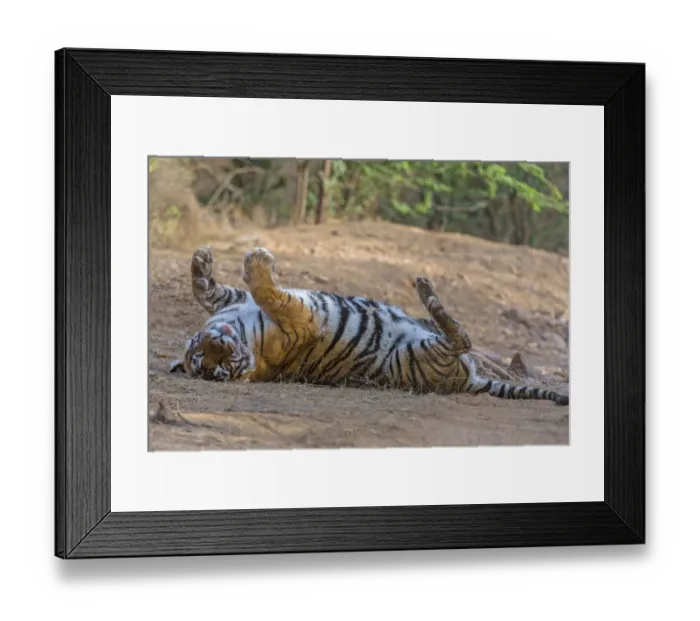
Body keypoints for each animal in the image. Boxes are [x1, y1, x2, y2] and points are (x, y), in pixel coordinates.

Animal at [169, 246, 569, 406]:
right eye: (214, 366)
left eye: (206, 352)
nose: (220, 346)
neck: (240, 329)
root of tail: (468, 382)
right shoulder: (299, 321)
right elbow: (271, 293)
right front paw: (257, 260)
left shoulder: (232, 302)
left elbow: (208, 290)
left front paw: (201, 260)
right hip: (416, 355)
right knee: (461, 340)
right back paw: (430, 297)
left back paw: (424, 295)